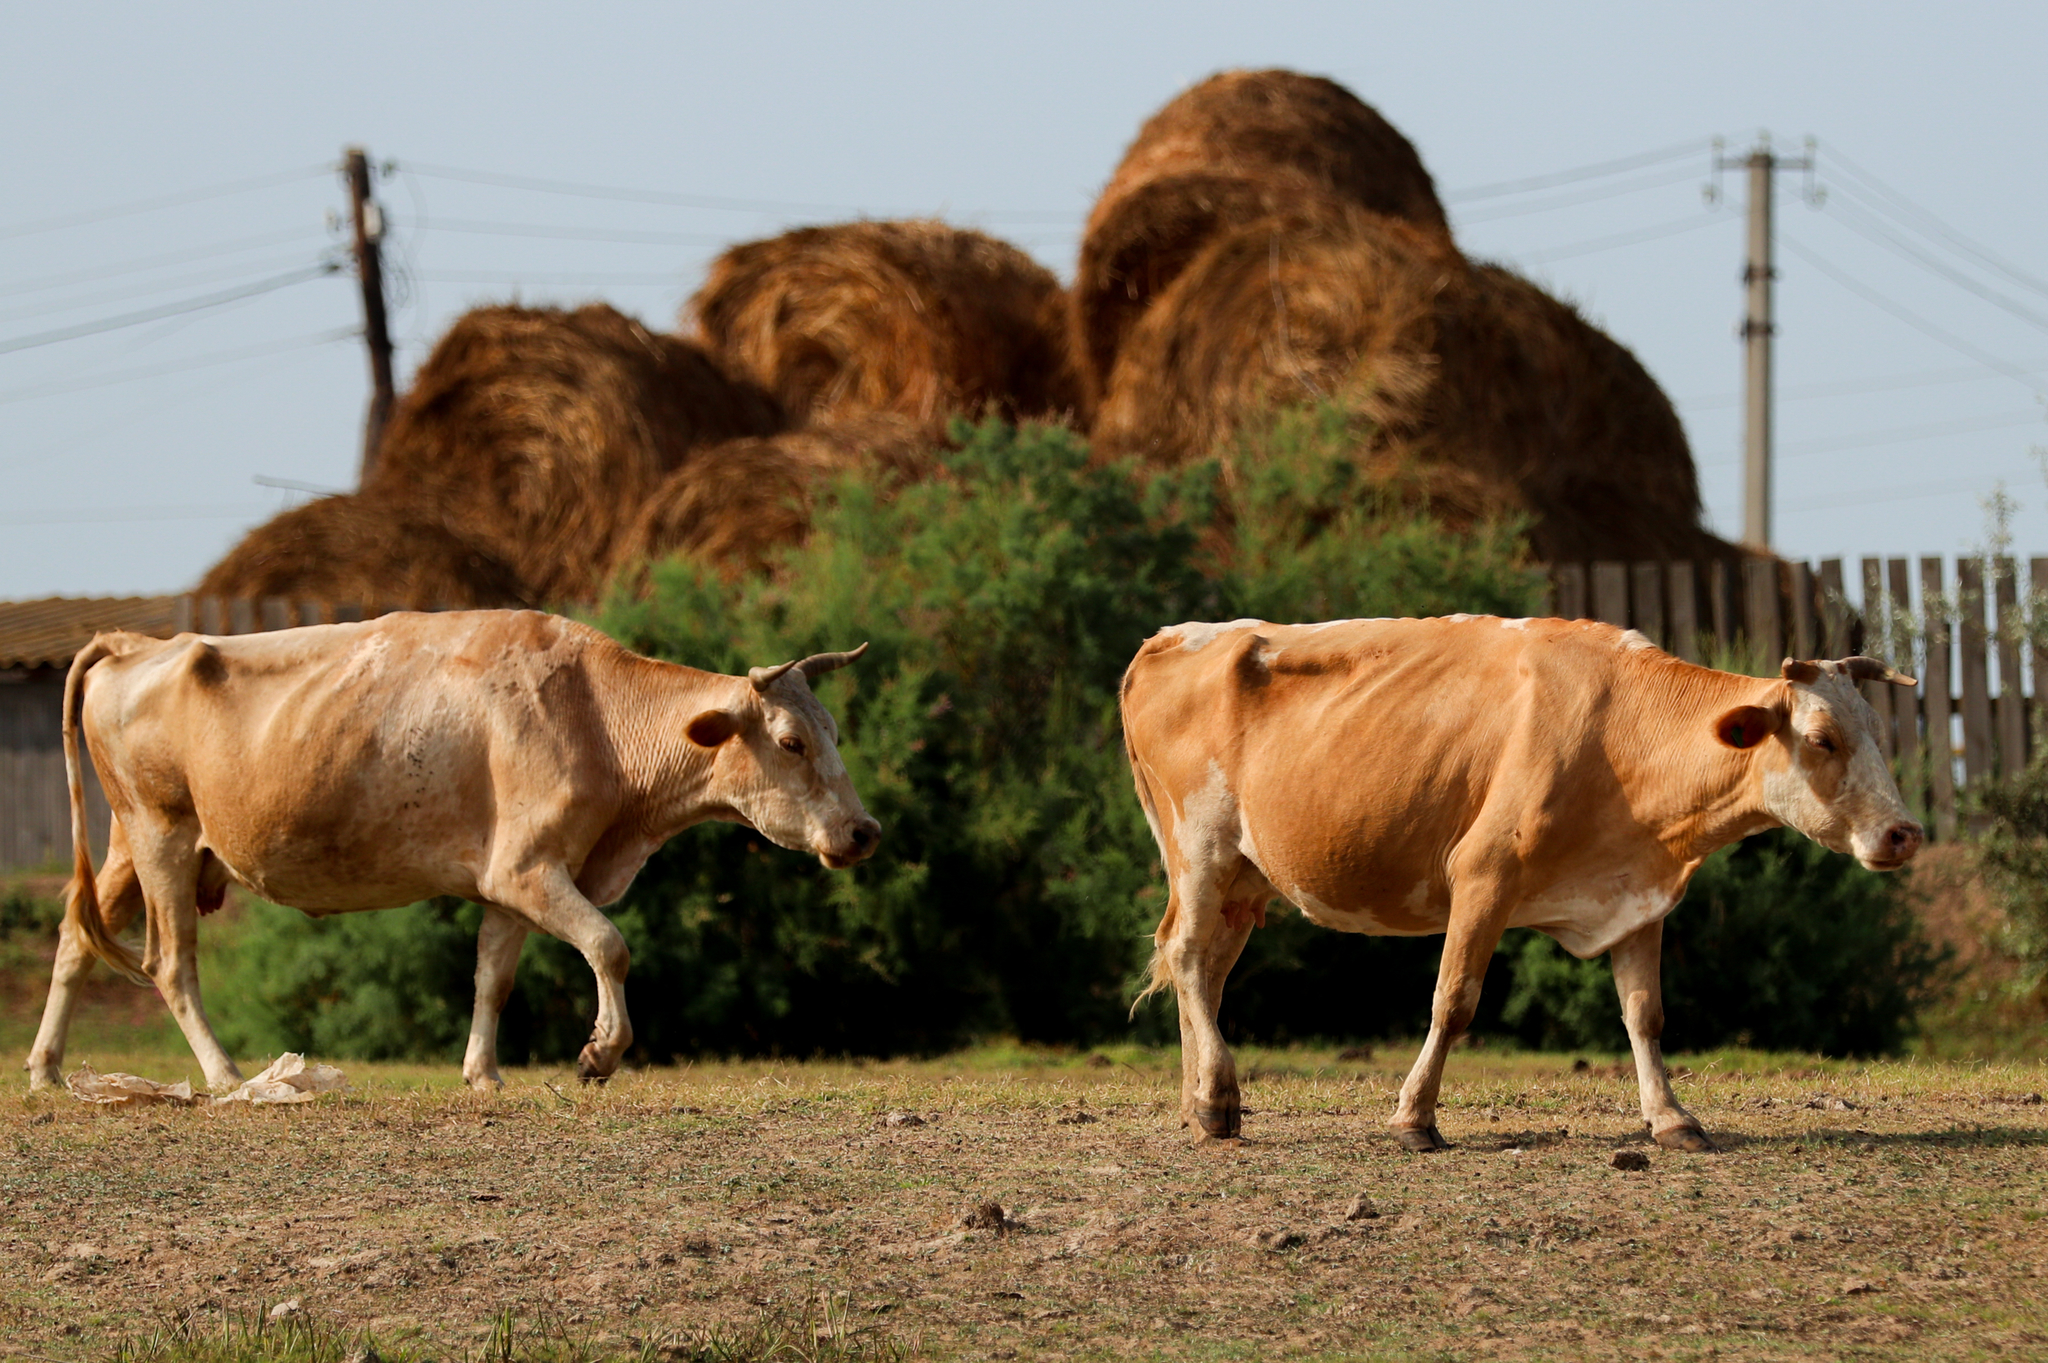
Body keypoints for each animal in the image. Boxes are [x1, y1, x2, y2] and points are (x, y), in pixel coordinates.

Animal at [25, 609, 880, 1088]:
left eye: (836, 731)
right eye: (791, 740)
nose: (863, 830)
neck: (597, 717)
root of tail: (141, 643)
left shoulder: (515, 879)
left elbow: (492, 978)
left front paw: (483, 1072)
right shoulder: (529, 868)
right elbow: (609, 945)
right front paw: (600, 1054)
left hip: (128, 845)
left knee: (72, 937)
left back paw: (45, 1067)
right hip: (161, 834)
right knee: (170, 963)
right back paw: (226, 1073)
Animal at [1122, 613, 1916, 1146]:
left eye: (1881, 735)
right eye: (1823, 739)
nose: (1903, 832)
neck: (1620, 734)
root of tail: (1170, 637)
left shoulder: (1637, 896)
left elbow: (1645, 1014)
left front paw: (1670, 1117)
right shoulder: (1484, 873)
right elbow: (1453, 1001)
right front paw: (1415, 1118)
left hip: (1243, 877)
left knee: (1207, 970)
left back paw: (1200, 1099)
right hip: (1201, 845)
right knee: (1187, 956)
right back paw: (1217, 1098)